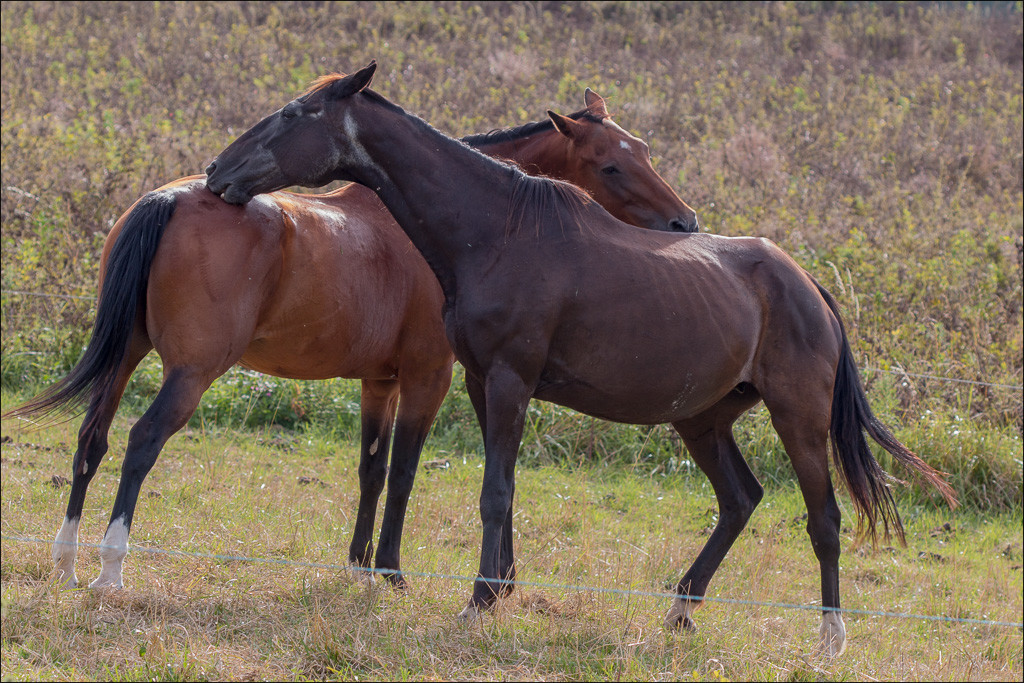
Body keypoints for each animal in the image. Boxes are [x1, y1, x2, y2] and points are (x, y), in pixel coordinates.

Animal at [3, 87, 697, 593]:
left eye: (645, 151)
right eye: (611, 163)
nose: (684, 223)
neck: (444, 225)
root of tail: (168, 200)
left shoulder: (378, 381)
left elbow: (371, 469)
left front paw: (359, 563)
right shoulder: (426, 377)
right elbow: (405, 473)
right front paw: (390, 572)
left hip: (127, 357)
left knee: (91, 441)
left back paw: (66, 561)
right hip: (190, 373)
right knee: (141, 442)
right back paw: (109, 570)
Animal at [205, 61, 958, 657]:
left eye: (296, 115)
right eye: (611, 160)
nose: (217, 174)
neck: (498, 230)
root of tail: (808, 286)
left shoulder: (506, 380)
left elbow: (492, 490)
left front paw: (478, 600)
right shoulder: (480, 381)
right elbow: (501, 487)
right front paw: (501, 589)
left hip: (796, 415)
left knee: (823, 517)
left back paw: (830, 637)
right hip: (703, 419)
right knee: (740, 499)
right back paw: (681, 610)